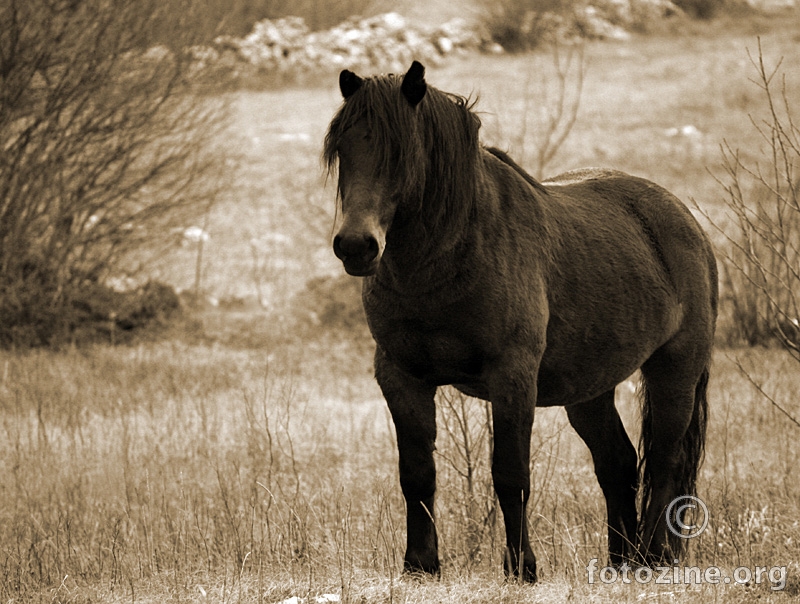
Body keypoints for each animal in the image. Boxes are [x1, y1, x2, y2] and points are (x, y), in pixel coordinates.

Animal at [324, 60, 720, 580]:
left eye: (401, 152)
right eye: (343, 149)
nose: (356, 246)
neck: (448, 259)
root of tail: (685, 220)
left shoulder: (512, 377)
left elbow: (510, 475)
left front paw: (521, 567)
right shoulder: (400, 376)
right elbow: (417, 475)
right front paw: (420, 564)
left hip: (674, 370)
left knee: (664, 464)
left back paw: (653, 558)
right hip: (588, 389)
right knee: (617, 463)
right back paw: (620, 561)